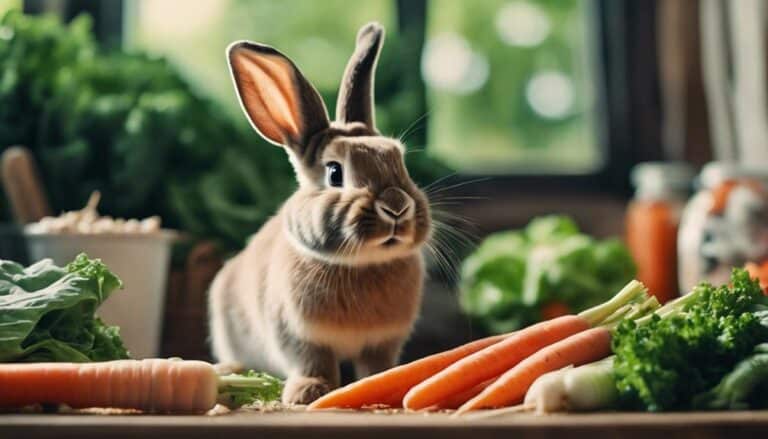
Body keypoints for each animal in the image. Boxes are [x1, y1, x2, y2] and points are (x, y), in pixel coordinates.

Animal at [208, 22, 431, 405]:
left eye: (400, 162)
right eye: (335, 173)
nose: (397, 206)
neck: (360, 264)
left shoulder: (383, 342)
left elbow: (377, 367)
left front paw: (385, 384)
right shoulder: (298, 335)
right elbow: (315, 362)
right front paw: (308, 393)